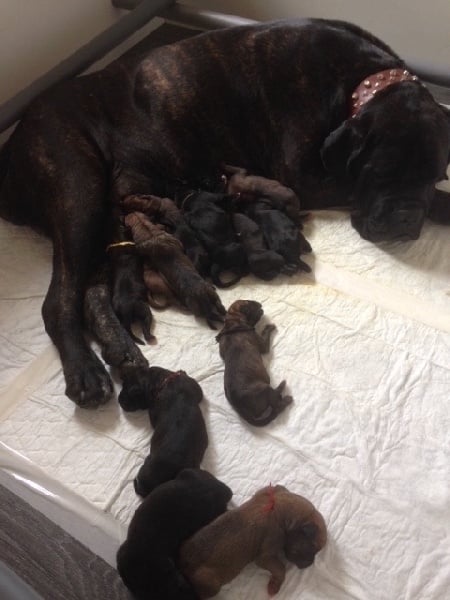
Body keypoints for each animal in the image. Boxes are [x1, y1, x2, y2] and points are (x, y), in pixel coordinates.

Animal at [0, 18, 450, 408]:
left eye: (435, 173)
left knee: (91, 293)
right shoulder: (305, 175)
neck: (362, 80)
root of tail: (13, 144)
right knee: (59, 302)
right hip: (79, 195)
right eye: (381, 171)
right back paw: (85, 372)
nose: (404, 219)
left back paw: (122, 351)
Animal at [179, 486, 326, 596]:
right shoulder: (265, 556)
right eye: (312, 548)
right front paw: (274, 586)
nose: (309, 565)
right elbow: (280, 568)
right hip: (210, 584)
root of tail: (184, 562)